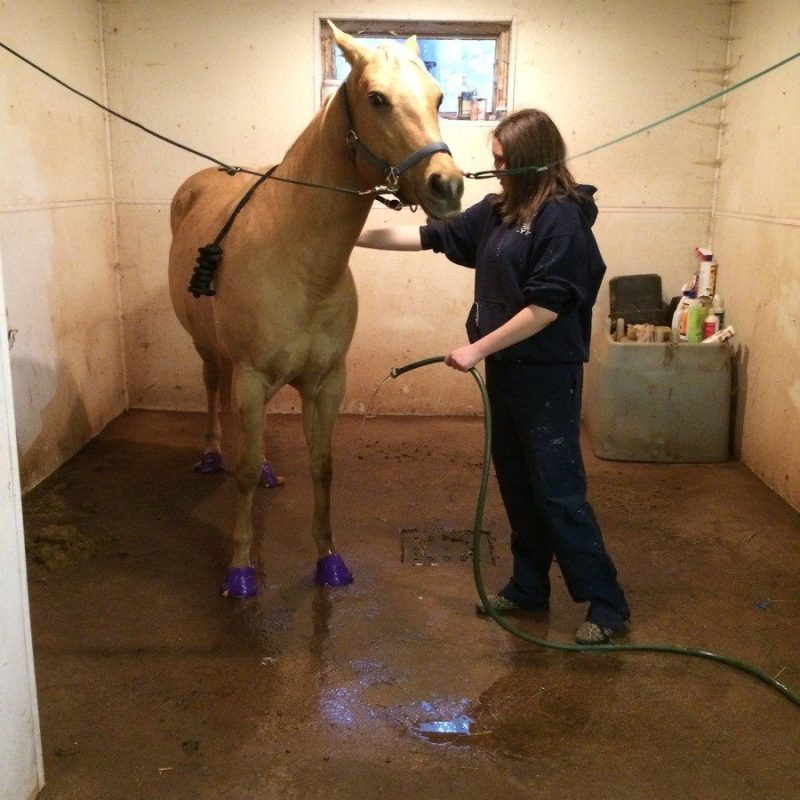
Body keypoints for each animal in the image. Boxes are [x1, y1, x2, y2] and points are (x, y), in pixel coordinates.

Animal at [167, 22, 464, 597]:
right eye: (376, 99)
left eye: (439, 98)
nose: (448, 185)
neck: (299, 258)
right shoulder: (252, 375)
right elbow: (240, 476)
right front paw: (240, 569)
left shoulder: (327, 381)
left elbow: (322, 466)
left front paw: (329, 559)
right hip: (210, 351)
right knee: (214, 388)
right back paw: (212, 453)